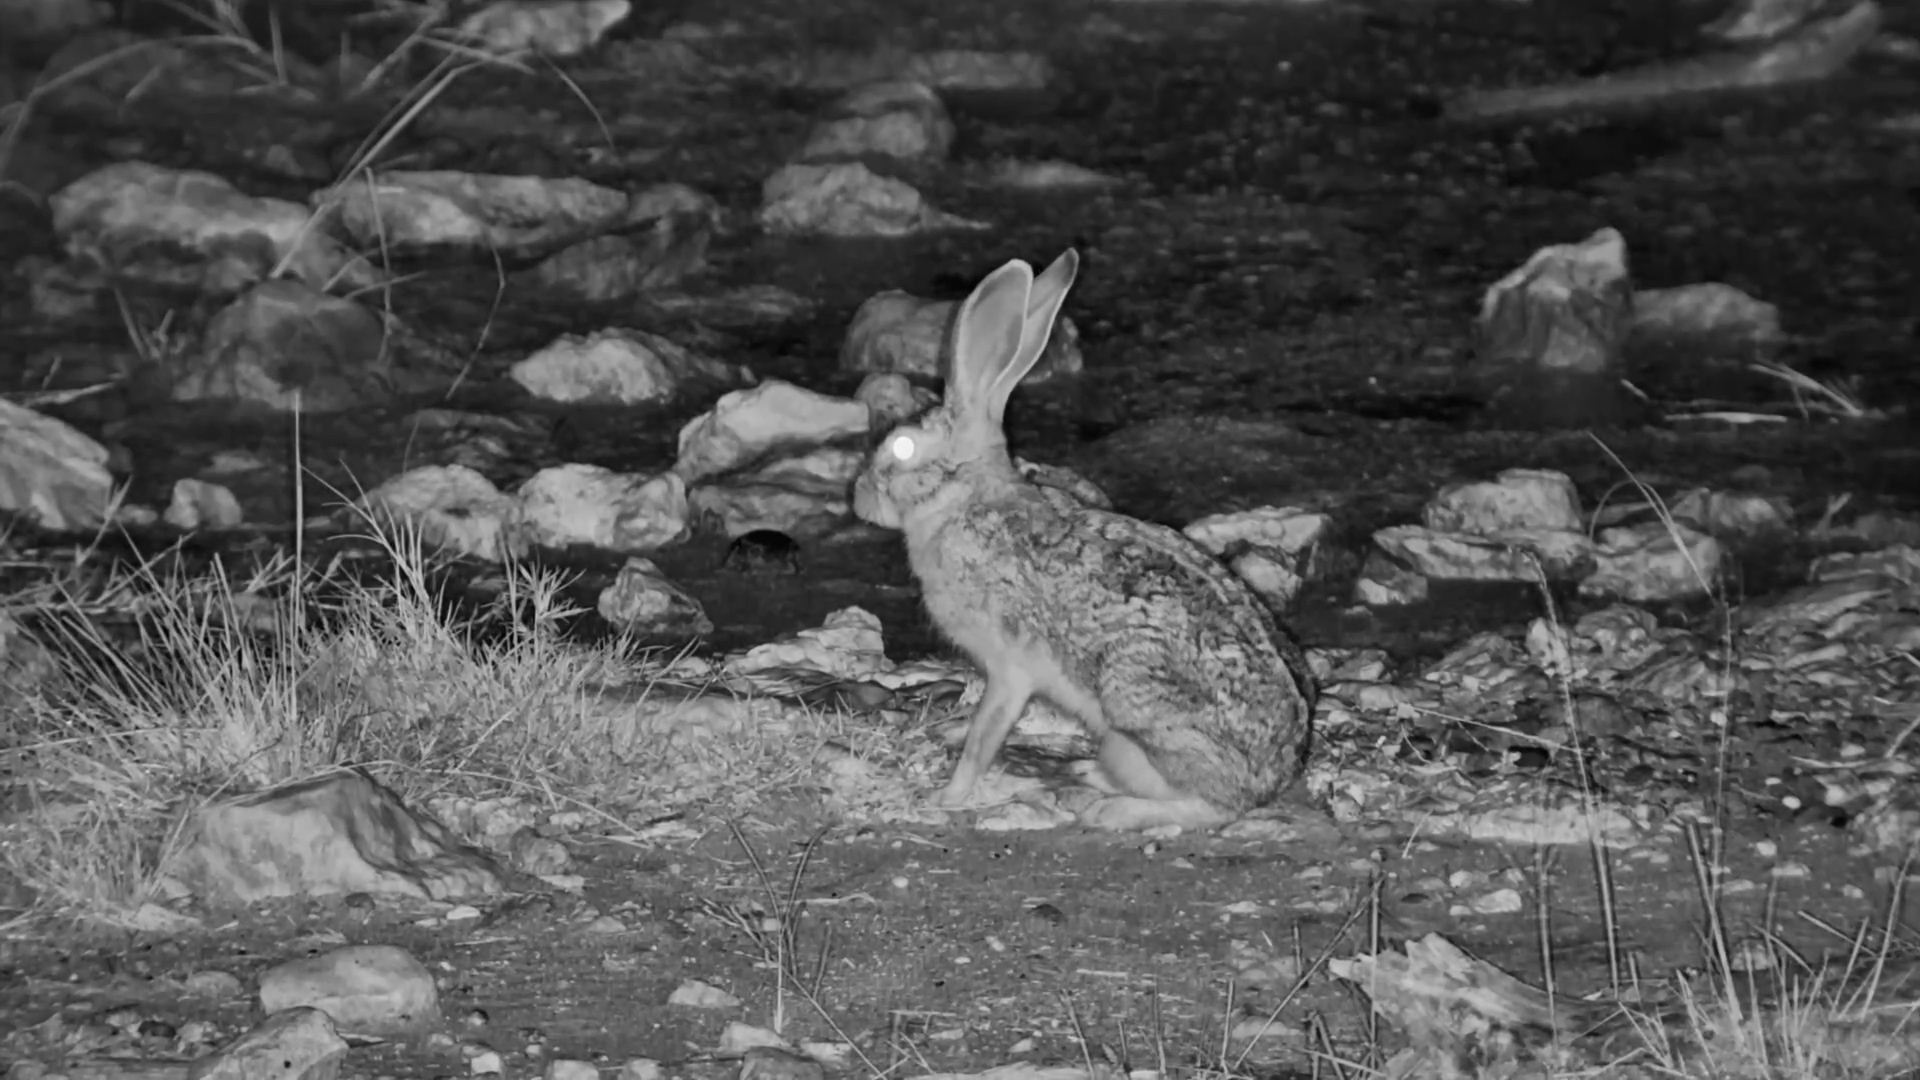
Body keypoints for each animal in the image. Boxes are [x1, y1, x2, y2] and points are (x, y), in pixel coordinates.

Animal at [851, 249, 1315, 832]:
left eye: (903, 447)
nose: (857, 497)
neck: (964, 499)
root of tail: (1270, 780)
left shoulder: (1010, 669)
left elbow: (985, 735)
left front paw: (946, 797)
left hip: (1135, 712)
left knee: (1210, 806)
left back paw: (1106, 804)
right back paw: (1090, 774)